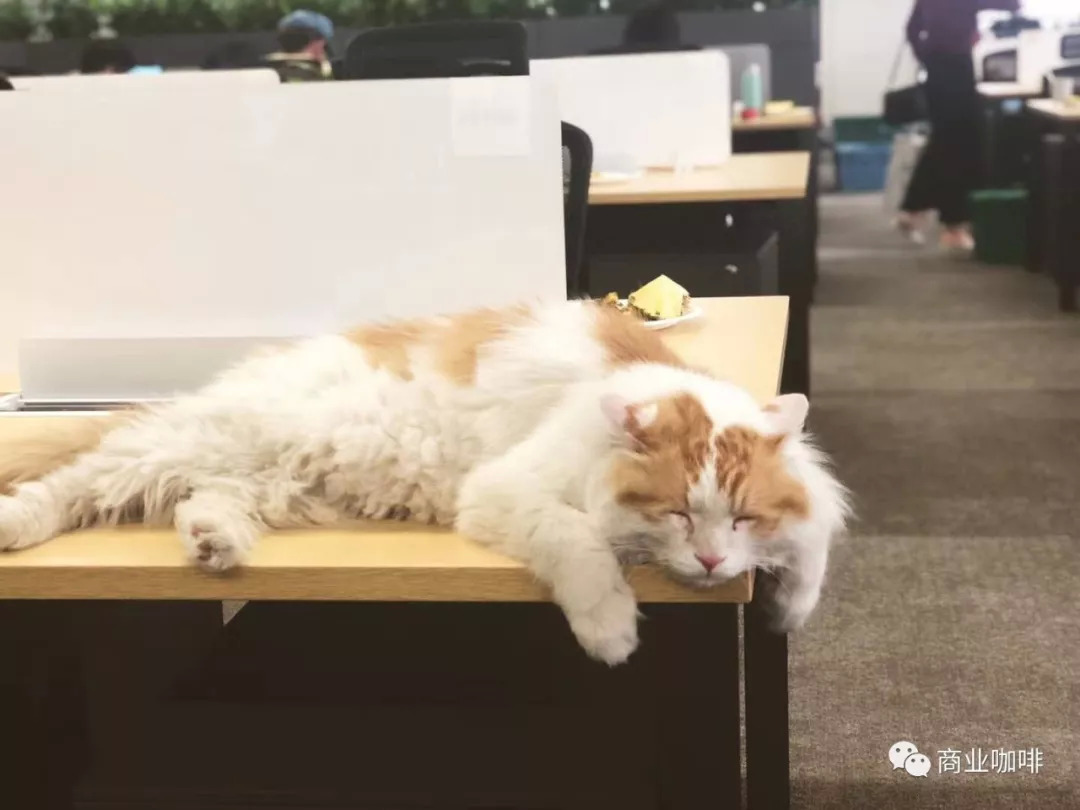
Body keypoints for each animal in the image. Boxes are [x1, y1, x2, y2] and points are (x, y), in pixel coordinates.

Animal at [0, 300, 848, 664]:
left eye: (740, 520)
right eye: (677, 514)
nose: (710, 563)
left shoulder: (809, 499)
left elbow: (814, 546)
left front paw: (787, 609)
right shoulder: (507, 492)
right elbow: (579, 546)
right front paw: (610, 631)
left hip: (274, 482)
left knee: (211, 498)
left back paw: (214, 544)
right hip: (195, 442)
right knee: (82, 476)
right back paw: (18, 524)